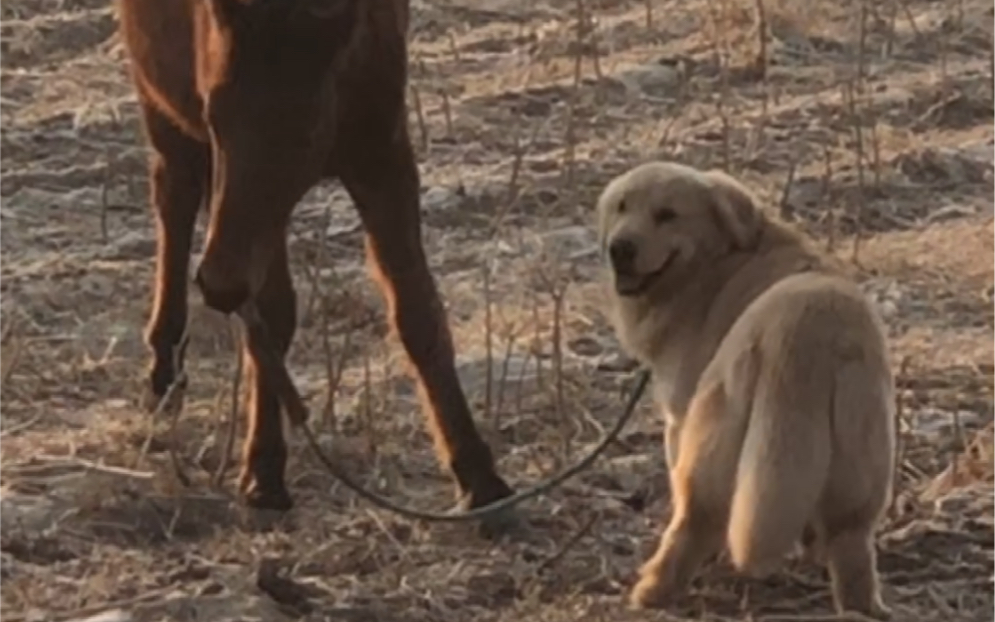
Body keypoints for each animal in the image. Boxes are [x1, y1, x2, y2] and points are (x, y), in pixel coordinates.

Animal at [118, 0, 512, 516]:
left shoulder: (382, 152)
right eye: (216, 112)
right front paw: (263, 473)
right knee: (173, 192)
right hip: (156, 96)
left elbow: (418, 313)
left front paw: (479, 478)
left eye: (301, 129)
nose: (219, 283)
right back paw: (164, 366)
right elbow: (274, 314)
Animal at [596, 161, 900, 620]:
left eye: (667, 214)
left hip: (710, 441)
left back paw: (651, 590)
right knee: (852, 544)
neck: (717, 264)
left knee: (694, 521)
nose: (620, 248)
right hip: (861, 464)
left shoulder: (679, 418)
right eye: (621, 206)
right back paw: (860, 605)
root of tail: (807, 330)